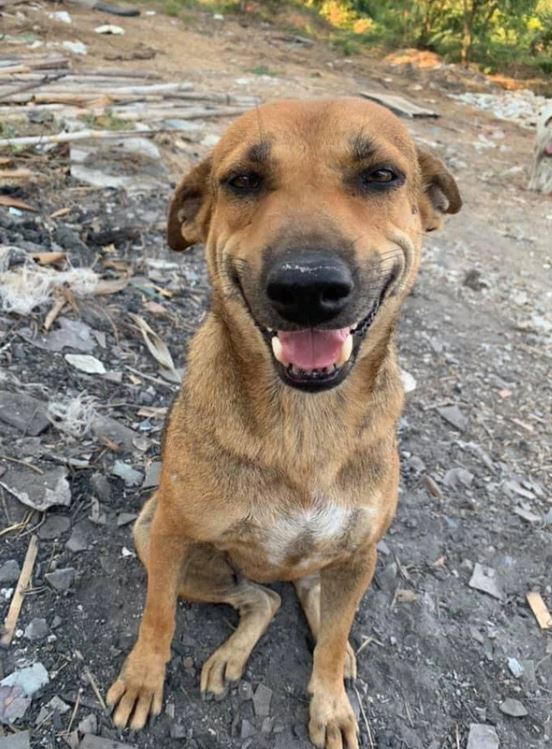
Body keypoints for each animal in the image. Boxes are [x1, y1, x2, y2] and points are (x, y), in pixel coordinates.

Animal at [106, 96, 462, 744]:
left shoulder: (361, 553)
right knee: (262, 601)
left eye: (382, 175)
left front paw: (331, 702)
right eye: (242, 181)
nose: (307, 288)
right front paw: (143, 679)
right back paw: (231, 655)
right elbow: (158, 616)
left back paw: (335, 651)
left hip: (350, 561)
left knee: (316, 606)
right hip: (154, 534)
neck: (304, 422)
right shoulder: (169, 535)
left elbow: (332, 639)